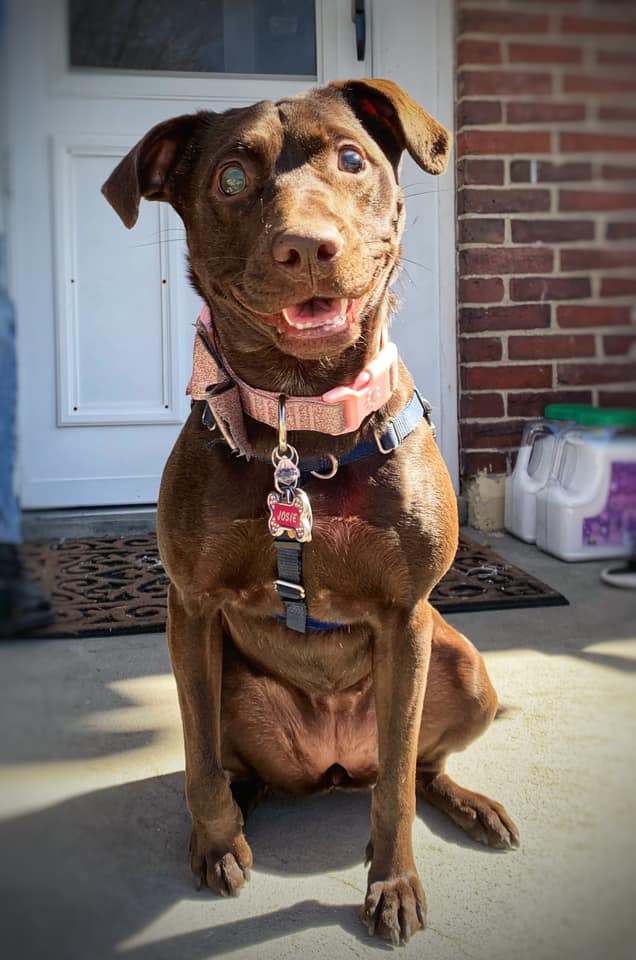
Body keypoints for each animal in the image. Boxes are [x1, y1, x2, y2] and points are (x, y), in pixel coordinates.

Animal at [103, 77, 516, 944]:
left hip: (462, 668)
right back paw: (238, 811)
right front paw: (216, 841)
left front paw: (392, 882)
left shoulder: (406, 617)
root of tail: (329, 766)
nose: (307, 246)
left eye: (352, 159)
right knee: (231, 764)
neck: (304, 418)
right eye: (230, 178)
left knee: (417, 767)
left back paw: (469, 805)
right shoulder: (190, 608)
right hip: (228, 679)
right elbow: (196, 755)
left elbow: (397, 788)